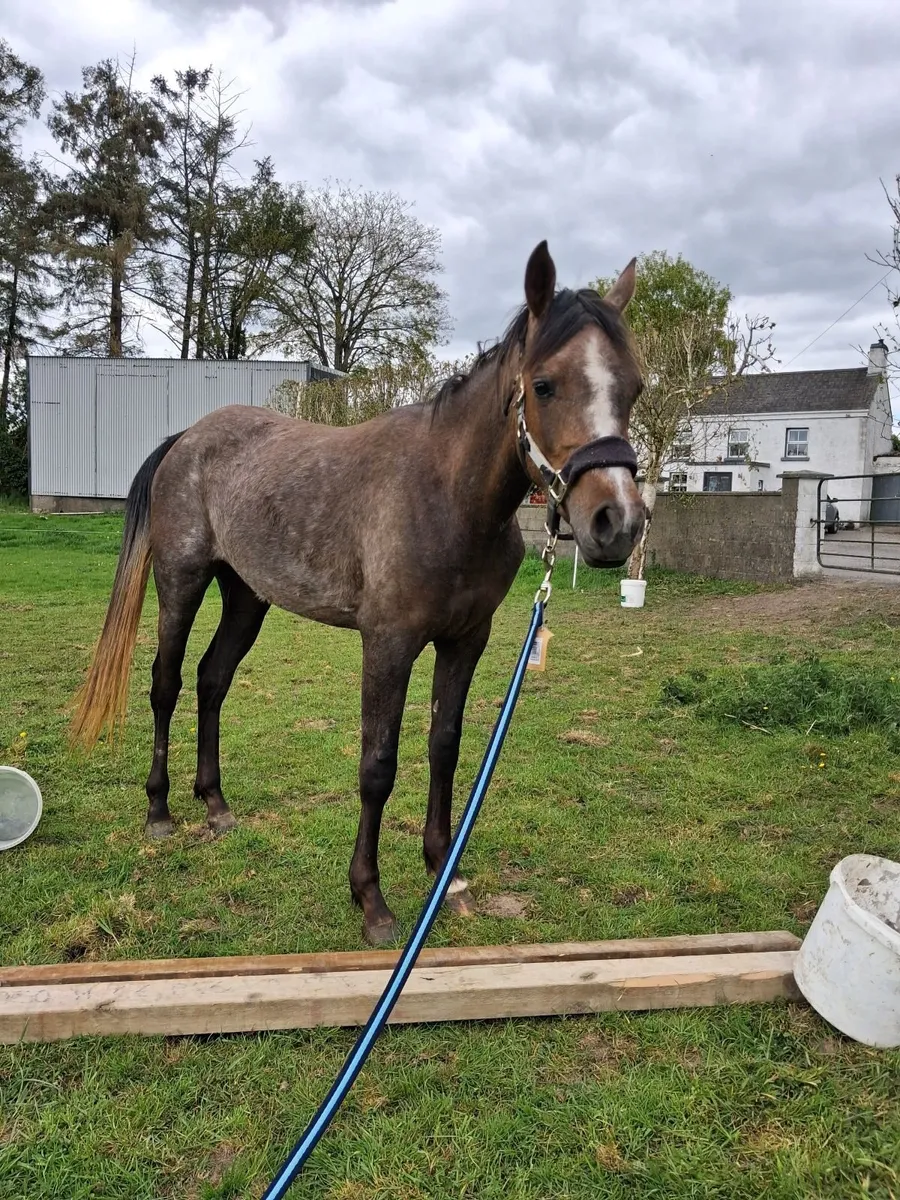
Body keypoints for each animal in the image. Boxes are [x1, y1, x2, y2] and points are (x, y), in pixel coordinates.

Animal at [70, 240, 646, 945]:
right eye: (544, 384)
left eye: (634, 386)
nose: (616, 522)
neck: (446, 497)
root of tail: (187, 439)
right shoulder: (388, 644)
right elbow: (378, 766)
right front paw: (370, 900)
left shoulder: (465, 642)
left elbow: (445, 748)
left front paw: (445, 874)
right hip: (182, 583)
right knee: (167, 683)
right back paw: (159, 810)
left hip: (247, 597)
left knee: (212, 680)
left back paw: (216, 805)